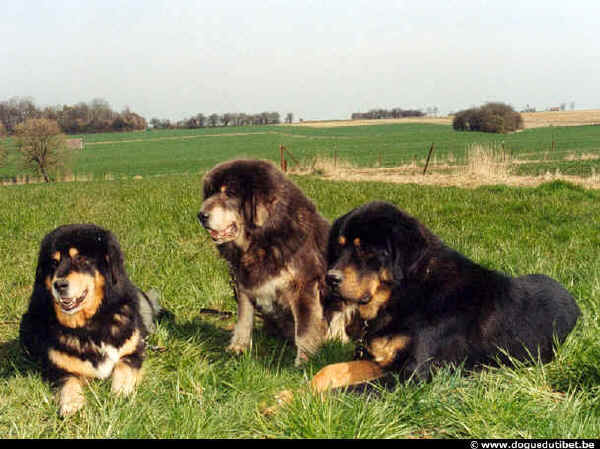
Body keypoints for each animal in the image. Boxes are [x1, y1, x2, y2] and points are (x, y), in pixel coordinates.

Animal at [19, 224, 163, 416]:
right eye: (54, 263)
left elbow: (123, 367)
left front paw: (120, 392)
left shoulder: (133, 352)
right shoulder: (59, 369)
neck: (92, 325)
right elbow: (69, 382)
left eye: (80, 258)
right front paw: (72, 403)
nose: (59, 284)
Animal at [198, 159, 346, 366]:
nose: (201, 215)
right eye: (210, 193)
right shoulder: (244, 284)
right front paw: (238, 347)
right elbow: (244, 319)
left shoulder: (304, 286)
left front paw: (304, 361)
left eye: (229, 193)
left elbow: (305, 328)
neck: (260, 241)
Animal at [312, 201, 580, 390]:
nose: (330, 278)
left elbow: (347, 392)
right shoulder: (384, 361)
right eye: (339, 247)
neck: (407, 293)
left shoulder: (413, 375)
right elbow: (329, 370)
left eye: (366, 250)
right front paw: (302, 391)